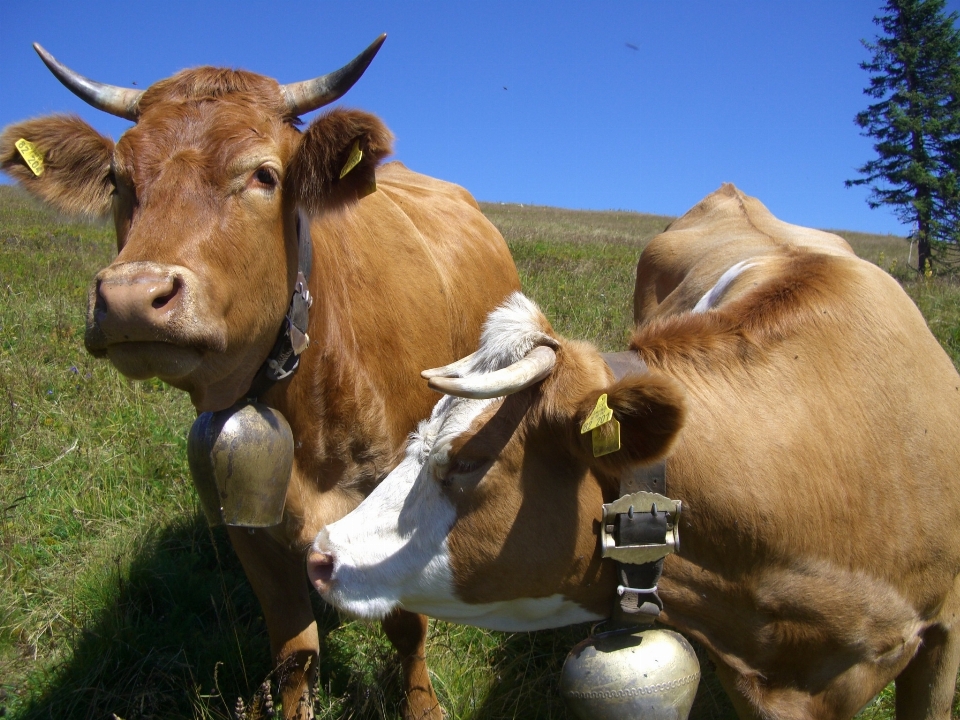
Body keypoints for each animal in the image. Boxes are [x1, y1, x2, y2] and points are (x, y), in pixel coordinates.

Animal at [0, 40, 520, 720]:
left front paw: (422, 705)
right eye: (118, 179)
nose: (132, 297)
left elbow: (408, 628)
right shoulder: (250, 522)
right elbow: (294, 647)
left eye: (264, 175)